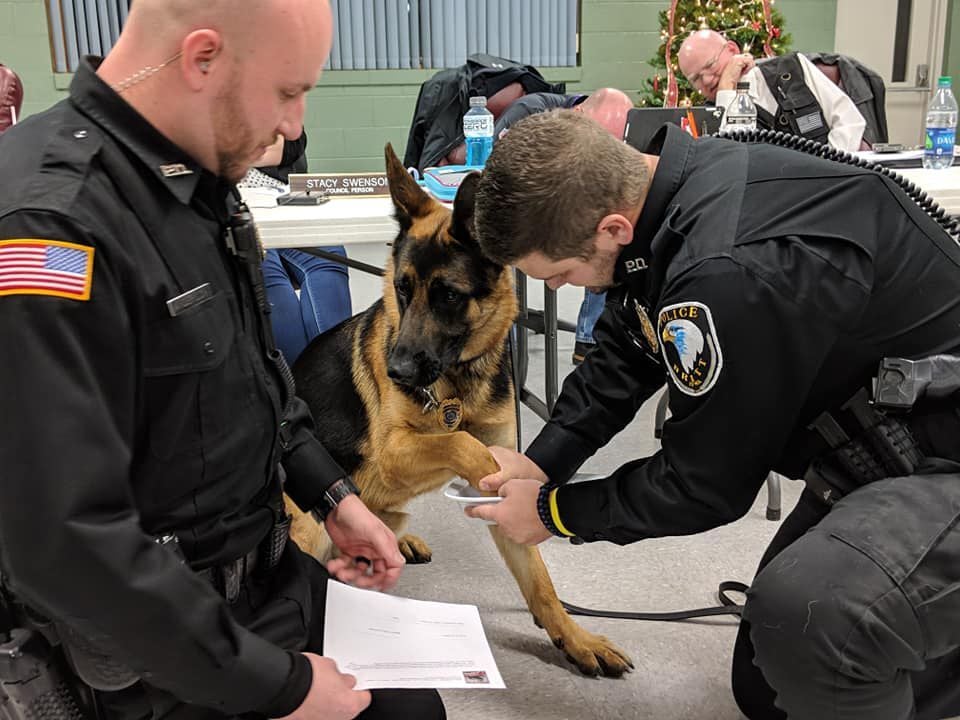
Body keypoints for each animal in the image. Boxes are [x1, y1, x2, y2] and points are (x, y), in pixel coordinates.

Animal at [286, 145, 632, 676]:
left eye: (448, 295)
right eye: (402, 289)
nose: (397, 370)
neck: (456, 384)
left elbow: (540, 581)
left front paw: (575, 638)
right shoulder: (395, 451)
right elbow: (462, 441)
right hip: (305, 523)